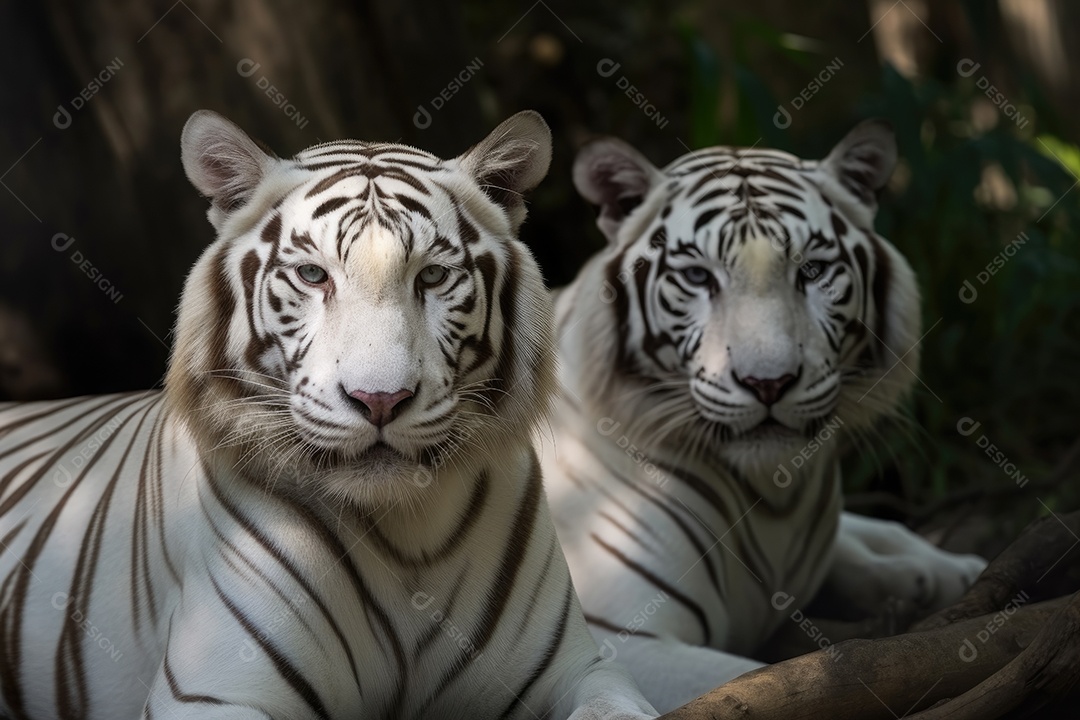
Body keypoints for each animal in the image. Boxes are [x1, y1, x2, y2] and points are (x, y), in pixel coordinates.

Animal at [0, 110, 658, 720]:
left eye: (433, 276)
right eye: (313, 275)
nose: (380, 400)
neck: (406, 538)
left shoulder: (579, 668)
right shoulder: (212, 691)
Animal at [538, 120, 988, 711]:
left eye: (813, 271)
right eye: (697, 277)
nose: (768, 381)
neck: (776, 500)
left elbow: (867, 533)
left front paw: (945, 571)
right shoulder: (620, 640)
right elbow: (759, 680)